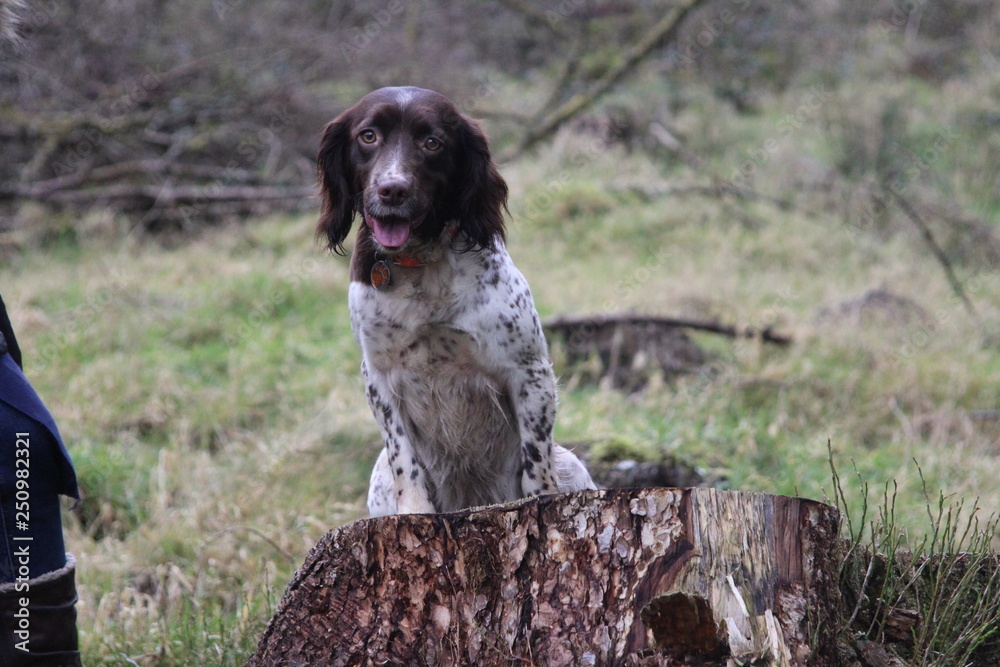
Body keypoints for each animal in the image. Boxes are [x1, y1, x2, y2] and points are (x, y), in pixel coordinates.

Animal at [316, 87, 592, 516]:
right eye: (368, 136)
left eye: (432, 142)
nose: (392, 189)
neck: (419, 261)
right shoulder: (378, 376)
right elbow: (404, 458)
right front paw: (416, 512)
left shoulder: (529, 369)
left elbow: (536, 459)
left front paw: (539, 501)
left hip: (574, 464)